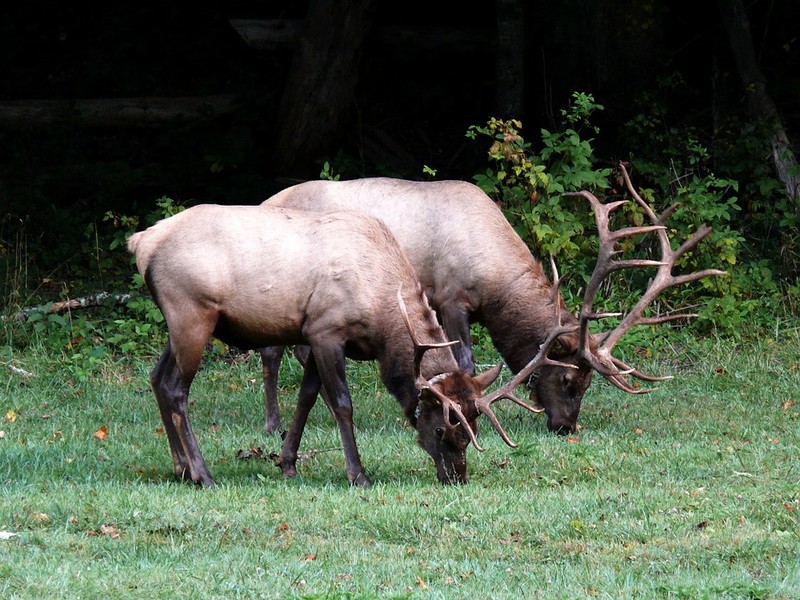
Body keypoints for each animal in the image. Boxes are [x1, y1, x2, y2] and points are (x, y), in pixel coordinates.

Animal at [126, 204, 532, 486]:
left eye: (473, 427)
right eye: (439, 430)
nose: (457, 476)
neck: (383, 319)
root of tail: (141, 243)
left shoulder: (311, 334)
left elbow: (306, 398)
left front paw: (287, 463)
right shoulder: (326, 331)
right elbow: (341, 403)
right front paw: (358, 473)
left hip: (180, 324)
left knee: (157, 377)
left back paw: (180, 467)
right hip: (192, 313)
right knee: (176, 389)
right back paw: (202, 474)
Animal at [260, 164, 728, 436]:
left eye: (587, 384)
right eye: (569, 381)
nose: (566, 426)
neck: (495, 283)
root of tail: (267, 199)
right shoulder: (450, 297)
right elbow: (464, 362)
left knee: (296, 350)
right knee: (272, 351)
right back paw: (272, 424)